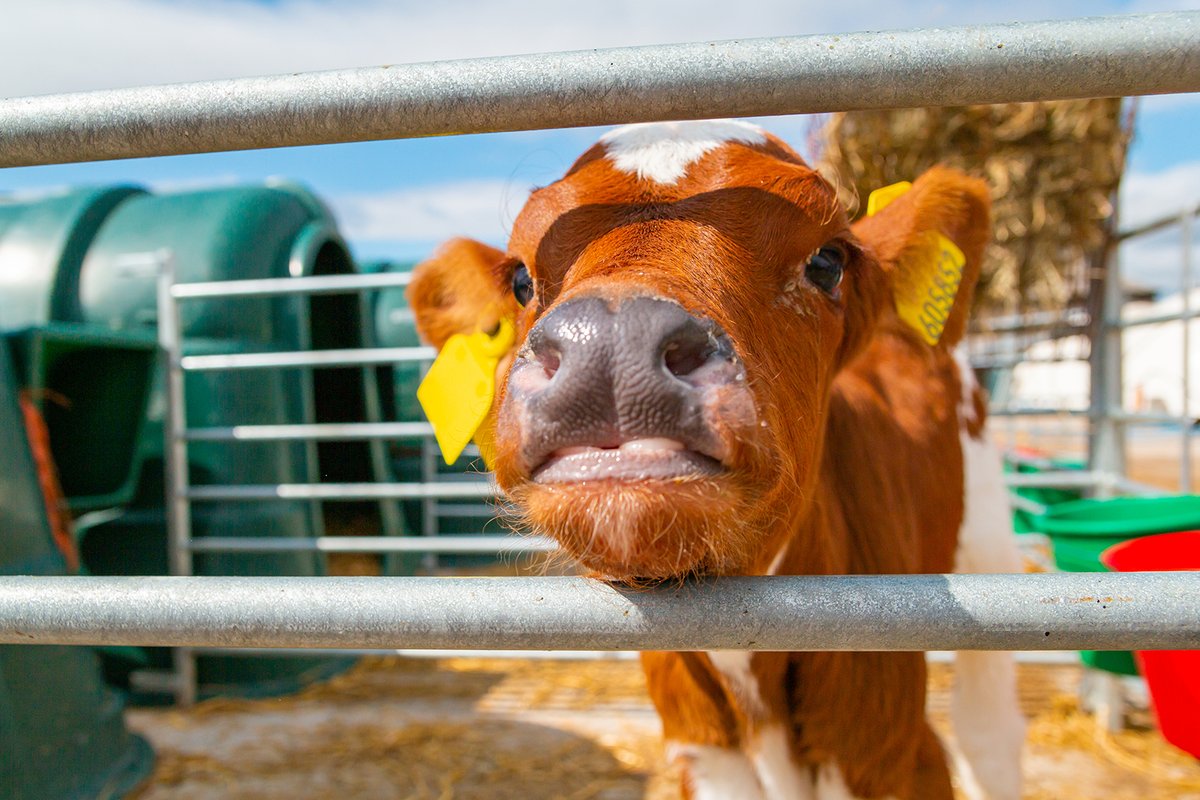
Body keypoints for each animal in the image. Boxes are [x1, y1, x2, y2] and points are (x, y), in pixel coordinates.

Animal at [406, 120, 1025, 800]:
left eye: (827, 262)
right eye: (521, 279)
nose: (613, 341)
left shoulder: (893, 758)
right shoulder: (702, 757)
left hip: (989, 545)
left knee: (990, 731)